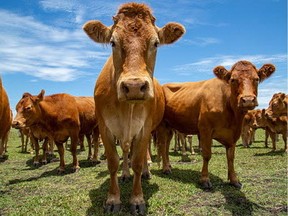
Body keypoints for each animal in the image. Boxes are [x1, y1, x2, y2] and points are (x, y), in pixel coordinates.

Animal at [82, 2, 184, 214]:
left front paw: (137, 199)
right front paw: (113, 199)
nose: (134, 86)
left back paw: (146, 171)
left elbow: (137, 161)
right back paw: (125, 174)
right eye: (113, 42)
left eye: (156, 43)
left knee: (142, 153)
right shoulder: (105, 127)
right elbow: (113, 162)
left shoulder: (144, 128)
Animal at [156, 60, 276, 189]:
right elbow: (207, 155)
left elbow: (231, 157)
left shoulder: (234, 133)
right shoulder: (205, 130)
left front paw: (234, 180)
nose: (248, 100)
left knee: (167, 145)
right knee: (162, 145)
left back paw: (168, 165)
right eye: (232, 80)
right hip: (162, 125)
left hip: (170, 126)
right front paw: (204, 179)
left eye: (257, 79)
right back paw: (166, 168)